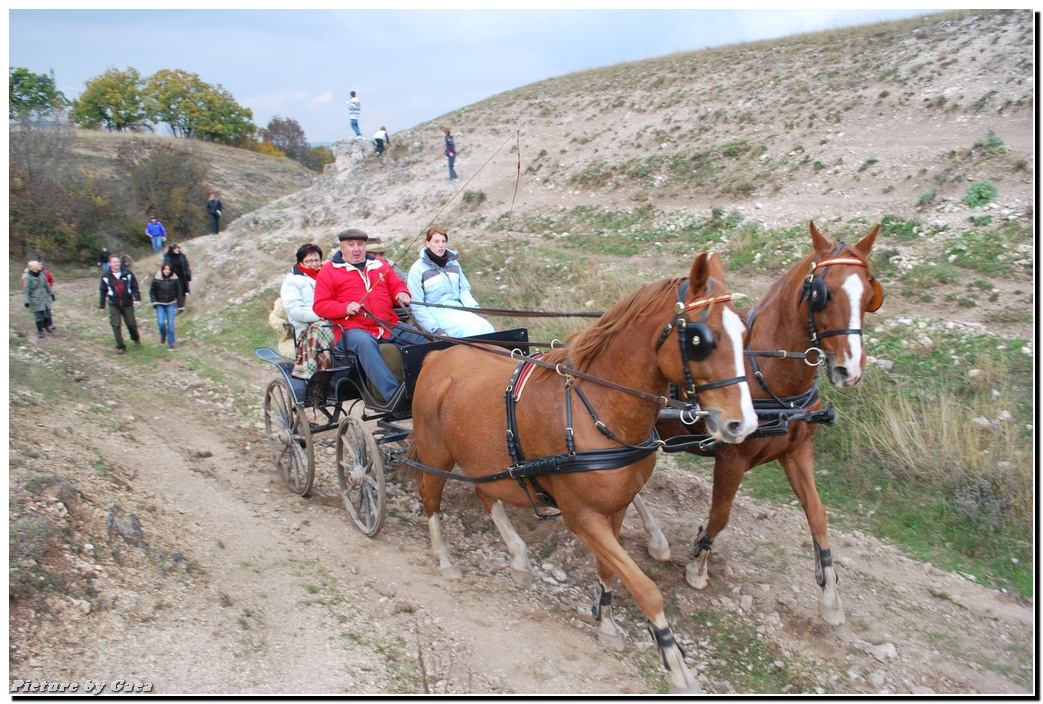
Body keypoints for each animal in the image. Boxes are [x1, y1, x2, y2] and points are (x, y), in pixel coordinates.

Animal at [406, 253, 759, 692]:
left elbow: (609, 571)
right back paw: (445, 558)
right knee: (430, 498)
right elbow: (646, 589)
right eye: (699, 340)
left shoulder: (616, 510)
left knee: (485, 494)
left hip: (486, 461)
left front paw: (606, 624)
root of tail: (438, 355)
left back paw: (518, 557)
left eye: (744, 332)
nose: (743, 424)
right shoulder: (582, 517)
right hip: (436, 454)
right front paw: (676, 666)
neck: (600, 408)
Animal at [638, 223, 884, 625]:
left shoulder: (797, 450)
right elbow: (720, 516)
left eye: (869, 293)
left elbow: (818, 515)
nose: (850, 370)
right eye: (824, 293)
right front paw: (698, 563)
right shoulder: (731, 460)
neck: (768, 372)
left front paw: (830, 594)